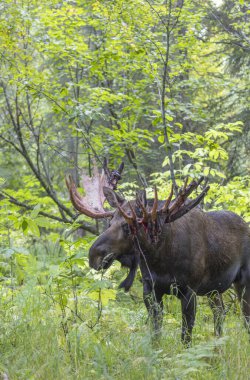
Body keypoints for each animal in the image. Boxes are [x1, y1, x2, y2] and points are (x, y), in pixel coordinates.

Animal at [66, 163, 250, 344]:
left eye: (128, 226)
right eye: (109, 223)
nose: (94, 255)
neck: (160, 259)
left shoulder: (189, 290)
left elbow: (186, 336)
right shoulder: (150, 289)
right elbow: (155, 333)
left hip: (242, 280)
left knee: (244, 316)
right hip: (214, 289)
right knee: (219, 312)